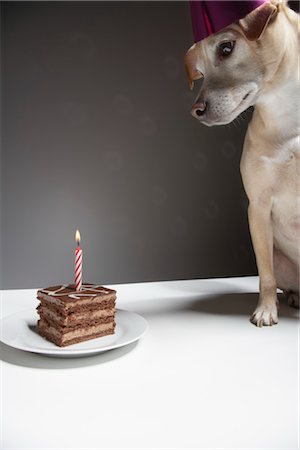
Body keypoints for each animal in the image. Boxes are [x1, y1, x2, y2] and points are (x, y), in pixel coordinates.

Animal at [184, 0, 298, 326]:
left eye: (226, 48)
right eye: (199, 71)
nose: (196, 110)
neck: (286, 114)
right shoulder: (258, 207)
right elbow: (265, 277)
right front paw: (266, 310)